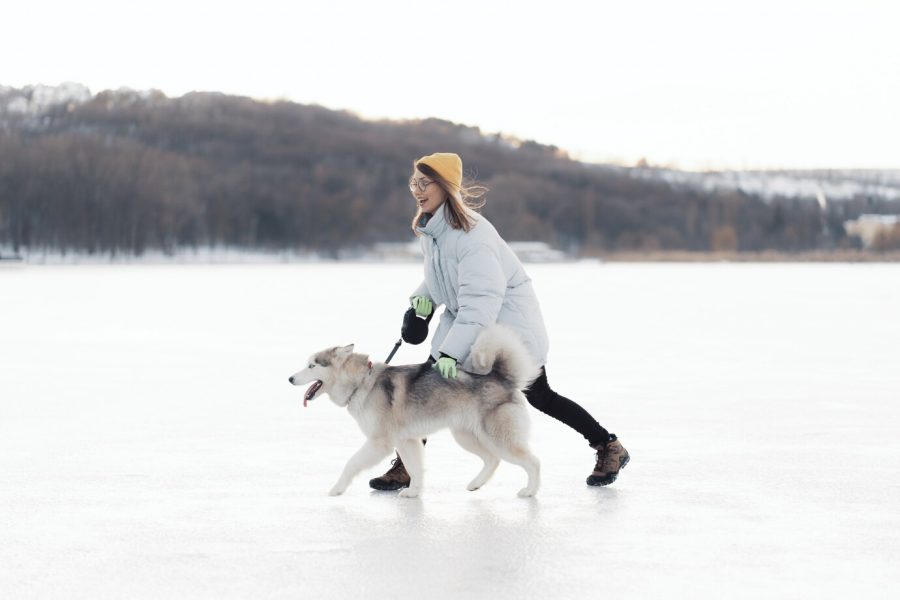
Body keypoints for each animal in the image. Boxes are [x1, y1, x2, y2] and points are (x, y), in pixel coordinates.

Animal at [290, 326, 540, 500]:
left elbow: (351, 463)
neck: (362, 383)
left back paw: (530, 491)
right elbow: (414, 468)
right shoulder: (407, 440)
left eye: (312, 365)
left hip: (499, 438)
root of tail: (502, 378)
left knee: (533, 461)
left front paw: (337, 488)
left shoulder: (379, 442)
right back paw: (475, 484)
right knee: (492, 459)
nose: (290, 378)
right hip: (465, 436)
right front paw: (414, 492)